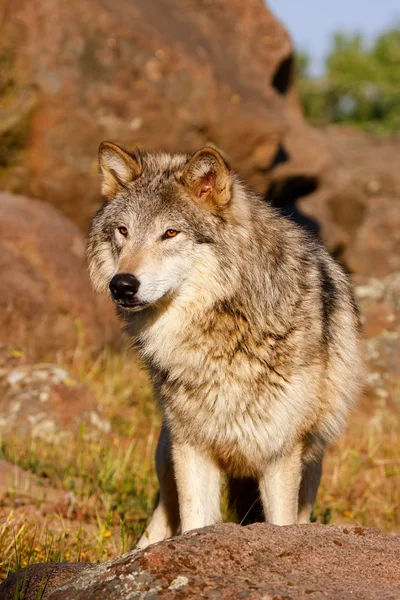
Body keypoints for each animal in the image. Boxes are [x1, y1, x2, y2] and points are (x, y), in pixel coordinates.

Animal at [87, 141, 362, 548]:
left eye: (170, 233)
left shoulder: (280, 454)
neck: (224, 329)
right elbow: (194, 524)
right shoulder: (191, 447)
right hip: (166, 455)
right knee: (161, 517)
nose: (122, 285)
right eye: (123, 230)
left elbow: (281, 526)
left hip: (311, 464)